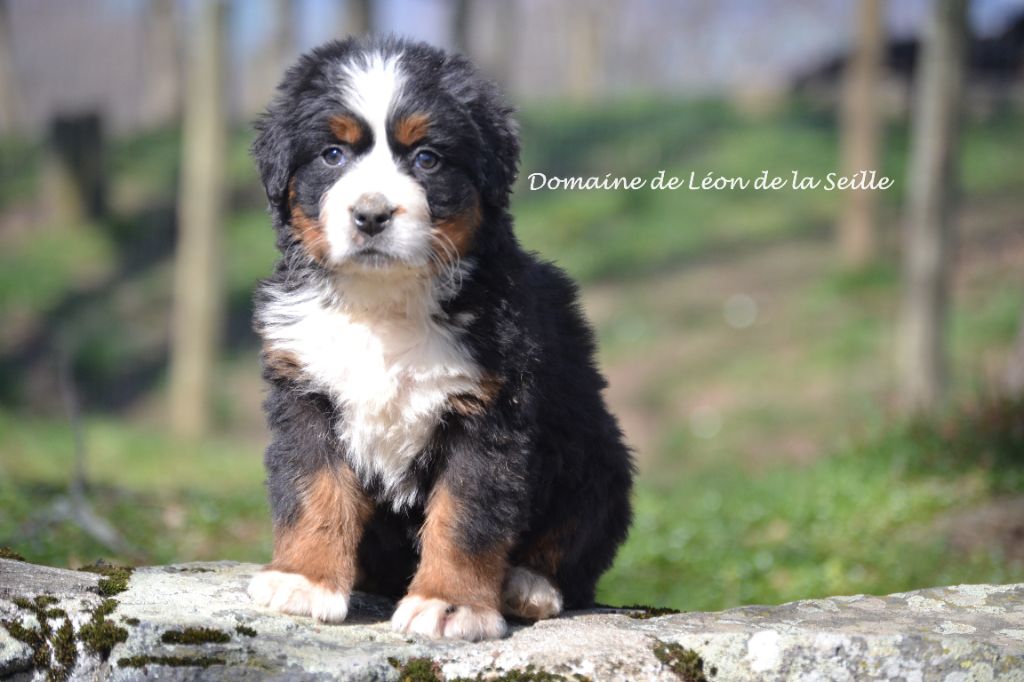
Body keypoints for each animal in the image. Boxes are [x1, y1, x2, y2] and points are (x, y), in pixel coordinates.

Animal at [246, 36, 634, 641]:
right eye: (333, 155)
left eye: (426, 158)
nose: (372, 215)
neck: (383, 303)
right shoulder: (306, 392)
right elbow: (314, 490)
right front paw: (304, 580)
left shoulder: (489, 412)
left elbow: (465, 515)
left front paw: (450, 604)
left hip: (597, 451)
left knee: (576, 543)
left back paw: (527, 585)